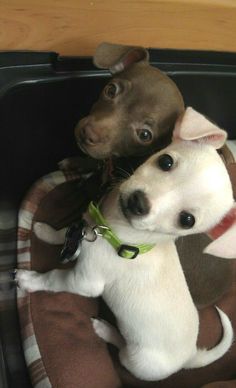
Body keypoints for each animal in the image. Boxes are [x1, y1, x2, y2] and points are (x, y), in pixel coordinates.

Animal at [15, 107, 235, 380]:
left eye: (187, 220)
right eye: (165, 161)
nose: (138, 203)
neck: (113, 234)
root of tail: (190, 355)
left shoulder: (83, 282)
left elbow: (53, 278)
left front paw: (29, 280)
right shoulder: (87, 226)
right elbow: (67, 231)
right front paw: (45, 231)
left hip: (135, 360)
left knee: (122, 349)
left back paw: (106, 330)